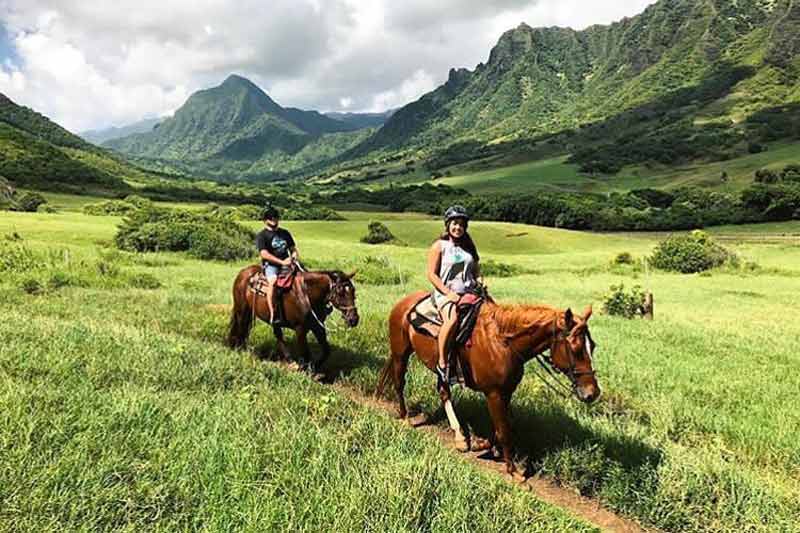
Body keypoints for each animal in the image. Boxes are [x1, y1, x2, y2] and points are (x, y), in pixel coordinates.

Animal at [228, 264, 360, 372]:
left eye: (353, 291)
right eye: (340, 292)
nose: (354, 319)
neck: (307, 294)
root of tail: (243, 273)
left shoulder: (318, 327)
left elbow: (326, 351)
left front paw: (314, 367)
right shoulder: (300, 329)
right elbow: (305, 353)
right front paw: (304, 370)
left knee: (277, 335)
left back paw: (289, 359)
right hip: (242, 310)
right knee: (240, 327)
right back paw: (239, 348)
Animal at [378, 290, 596, 474]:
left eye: (592, 346)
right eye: (575, 348)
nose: (592, 393)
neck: (504, 343)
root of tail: (404, 302)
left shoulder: (506, 392)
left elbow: (504, 426)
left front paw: (482, 445)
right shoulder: (494, 393)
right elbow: (504, 430)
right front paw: (513, 472)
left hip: (440, 370)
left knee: (443, 392)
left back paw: (460, 438)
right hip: (400, 353)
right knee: (400, 383)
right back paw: (405, 417)